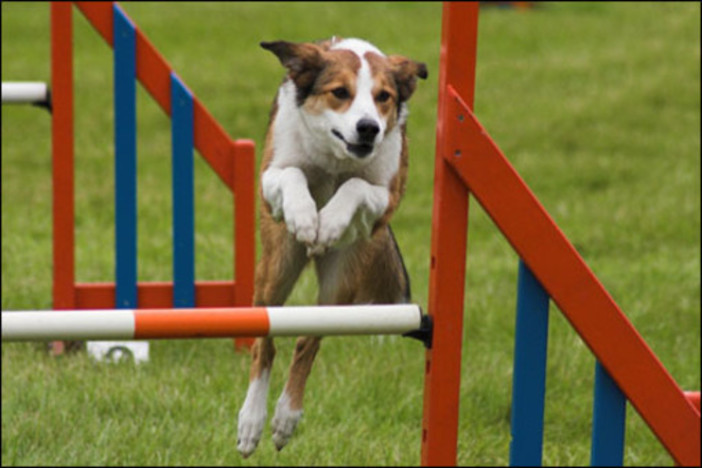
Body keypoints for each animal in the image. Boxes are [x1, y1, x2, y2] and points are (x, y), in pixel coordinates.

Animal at [236, 36, 428, 458]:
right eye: (340, 92)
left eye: (384, 97)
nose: (369, 128)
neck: (334, 157)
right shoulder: (271, 176)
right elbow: (292, 173)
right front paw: (306, 218)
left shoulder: (387, 197)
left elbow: (355, 186)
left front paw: (329, 224)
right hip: (276, 268)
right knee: (265, 344)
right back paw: (252, 422)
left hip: (344, 276)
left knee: (308, 339)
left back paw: (285, 419)